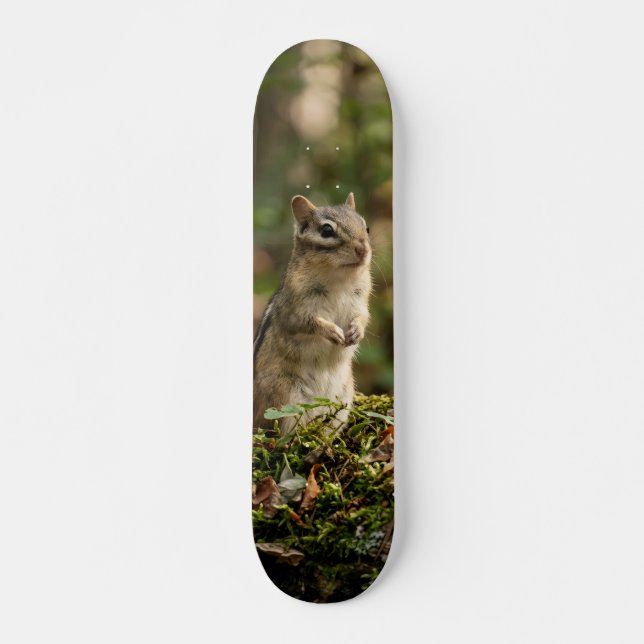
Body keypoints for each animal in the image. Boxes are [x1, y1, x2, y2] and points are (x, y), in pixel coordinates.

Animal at [253, 192, 372, 433]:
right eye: (327, 230)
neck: (339, 278)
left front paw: (356, 332)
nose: (363, 250)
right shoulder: (294, 309)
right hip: (286, 397)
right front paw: (332, 331)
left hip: (343, 399)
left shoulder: (360, 301)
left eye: (366, 227)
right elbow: (306, 323)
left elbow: (363, 317)